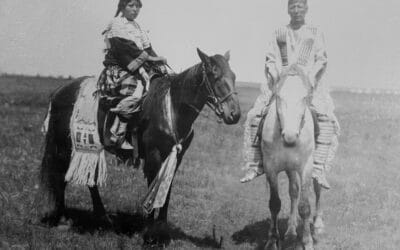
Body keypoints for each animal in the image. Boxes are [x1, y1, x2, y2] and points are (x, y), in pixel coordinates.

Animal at [39, 47, 241, 241]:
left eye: (234, 76)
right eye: (214, 74)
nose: (235, 114)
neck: (172, 107)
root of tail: (59, 91)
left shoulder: (176, 156)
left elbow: (166, 190)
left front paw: (162, 232)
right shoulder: (154, 155)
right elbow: (153, 186)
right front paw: (150, 234)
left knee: (88, 180)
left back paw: (102, 218)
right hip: (64, 146)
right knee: (61, 176)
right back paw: (64, 219)